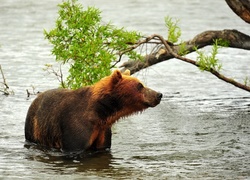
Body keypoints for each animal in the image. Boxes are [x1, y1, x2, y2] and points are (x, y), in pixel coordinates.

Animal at [24, 69, 163, 153]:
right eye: (140, 85)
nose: (158, 94)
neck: (101, 113)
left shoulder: (102, 130)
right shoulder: (76, 127)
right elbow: (75, 145)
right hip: (34, 128)